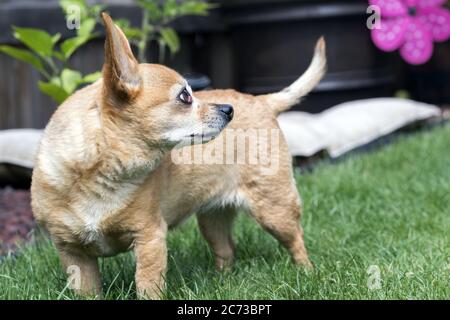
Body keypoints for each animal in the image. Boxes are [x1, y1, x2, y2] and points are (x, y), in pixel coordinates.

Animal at [31, 11, 326, 298]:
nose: (229, 110)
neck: (102, 176)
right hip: (212, 219)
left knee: (296, 240)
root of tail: (261, 100)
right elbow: (87, 291)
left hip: (275, 209)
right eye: (185, 96)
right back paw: (223, 282)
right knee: (227, 250)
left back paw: (307, 273)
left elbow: (148, 286)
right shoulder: (73, 254)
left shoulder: (149, 238)